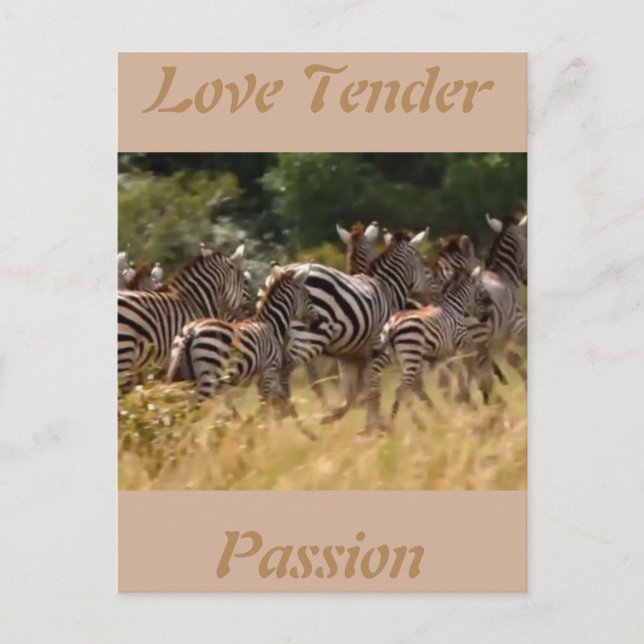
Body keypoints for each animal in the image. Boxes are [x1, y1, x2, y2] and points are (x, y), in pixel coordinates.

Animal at [166, 264, 321, 415]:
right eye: (309, 294)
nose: (318, 321)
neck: (271, 325)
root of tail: (192, 330)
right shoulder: (269, 372)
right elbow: (265, 410)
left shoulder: (264, 378)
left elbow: (277, 403)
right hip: (208, 377)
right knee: (192, 412)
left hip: (184, 377)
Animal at [271, 228, 431, 423]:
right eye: (424, 261)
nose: (427, 299)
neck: (387, 288)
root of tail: (287, 270)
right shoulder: (378, 352)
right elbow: (372, 388)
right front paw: (375, 423)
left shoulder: (348, 357)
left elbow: (352, 393)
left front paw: (334, 416)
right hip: (312, 337)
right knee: (287, 370)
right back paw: (290, 412)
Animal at [364, 266, 493, 432]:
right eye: (482, 290)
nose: (487, 316)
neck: (454, 308)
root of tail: (392, 325)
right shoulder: (462, 341)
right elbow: (471, 365)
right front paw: (480, 391)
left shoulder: (445, 353)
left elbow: (455, 373)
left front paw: (464, 398)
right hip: (411, 357)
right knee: (402, 389)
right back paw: (397, 423)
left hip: (396, 358)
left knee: (404, 388)